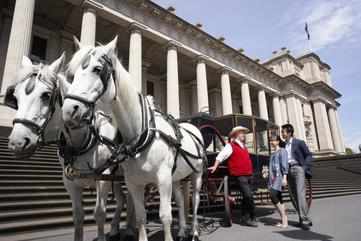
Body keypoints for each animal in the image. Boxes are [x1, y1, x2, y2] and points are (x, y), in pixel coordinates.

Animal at [4, 53, 126, 241]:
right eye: (15, 97)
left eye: (46, 95)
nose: (17, 143)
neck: (83, 140)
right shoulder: (70, 181)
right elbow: (78, 216)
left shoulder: (103, 177)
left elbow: (99, 213)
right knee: (122, 200)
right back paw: (115, 228)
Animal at [60, 36, 204, 241]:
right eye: (72, 74)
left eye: (97, 69)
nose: (69, 110)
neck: (140, 136)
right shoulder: (134, 182)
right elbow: (141, 215)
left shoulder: (162, 179)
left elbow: (165, 215)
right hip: (176, 177)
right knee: (180, 199)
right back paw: (183, 230)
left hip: (196, 175)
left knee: (196, 200)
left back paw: (194, 231)